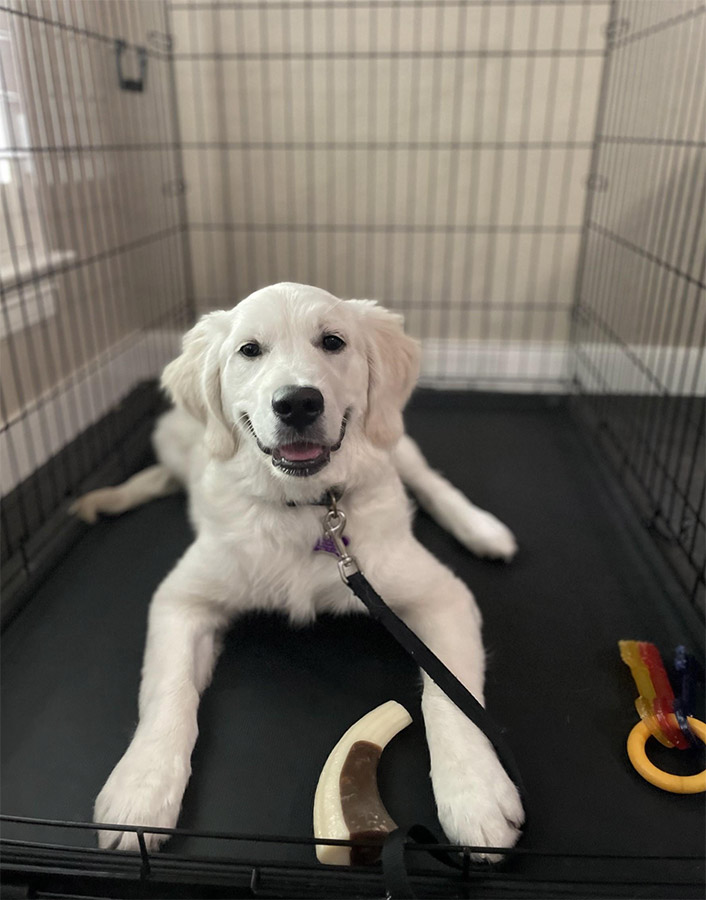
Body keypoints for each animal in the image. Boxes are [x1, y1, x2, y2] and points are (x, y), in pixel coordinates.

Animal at [73, 284, 524, 856]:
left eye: (333, 341)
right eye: (249, 350)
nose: (298, 402)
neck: (306, 508)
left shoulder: (441, 594)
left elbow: (451, 693)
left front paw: (476, 793)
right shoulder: (182, 598)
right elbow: (169, 691)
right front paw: (140, 790)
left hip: (394, 437)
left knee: (428, 478)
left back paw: (482, 528)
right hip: (172, 439)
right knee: (163, 473)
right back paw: (109, 498)